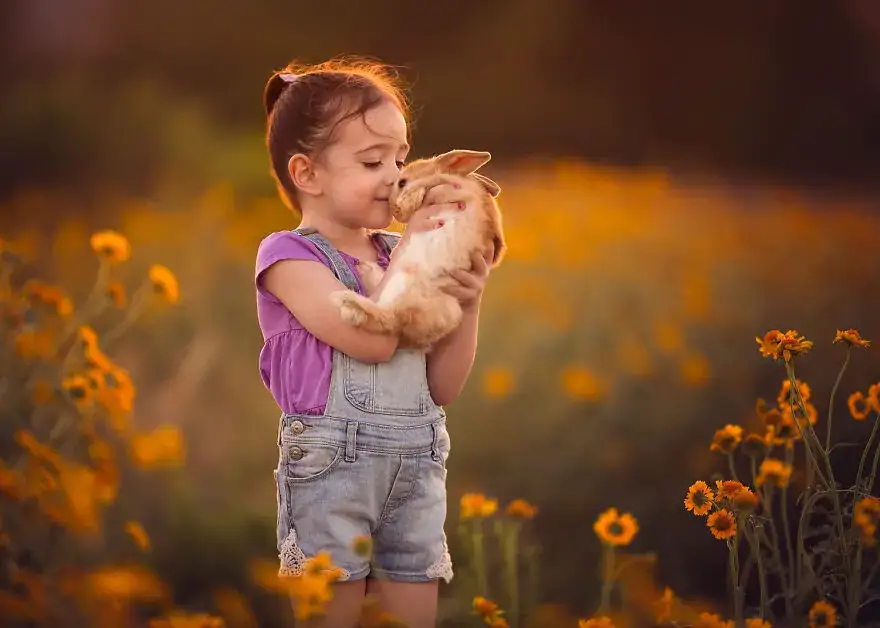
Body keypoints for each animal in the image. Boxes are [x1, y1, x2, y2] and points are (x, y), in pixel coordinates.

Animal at [332, 150, 508, 350]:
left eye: (402, 182)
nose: (396, 211)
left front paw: (411, 197)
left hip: (403, 283)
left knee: (387, 317)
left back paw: (349, 299)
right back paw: (363, 273)